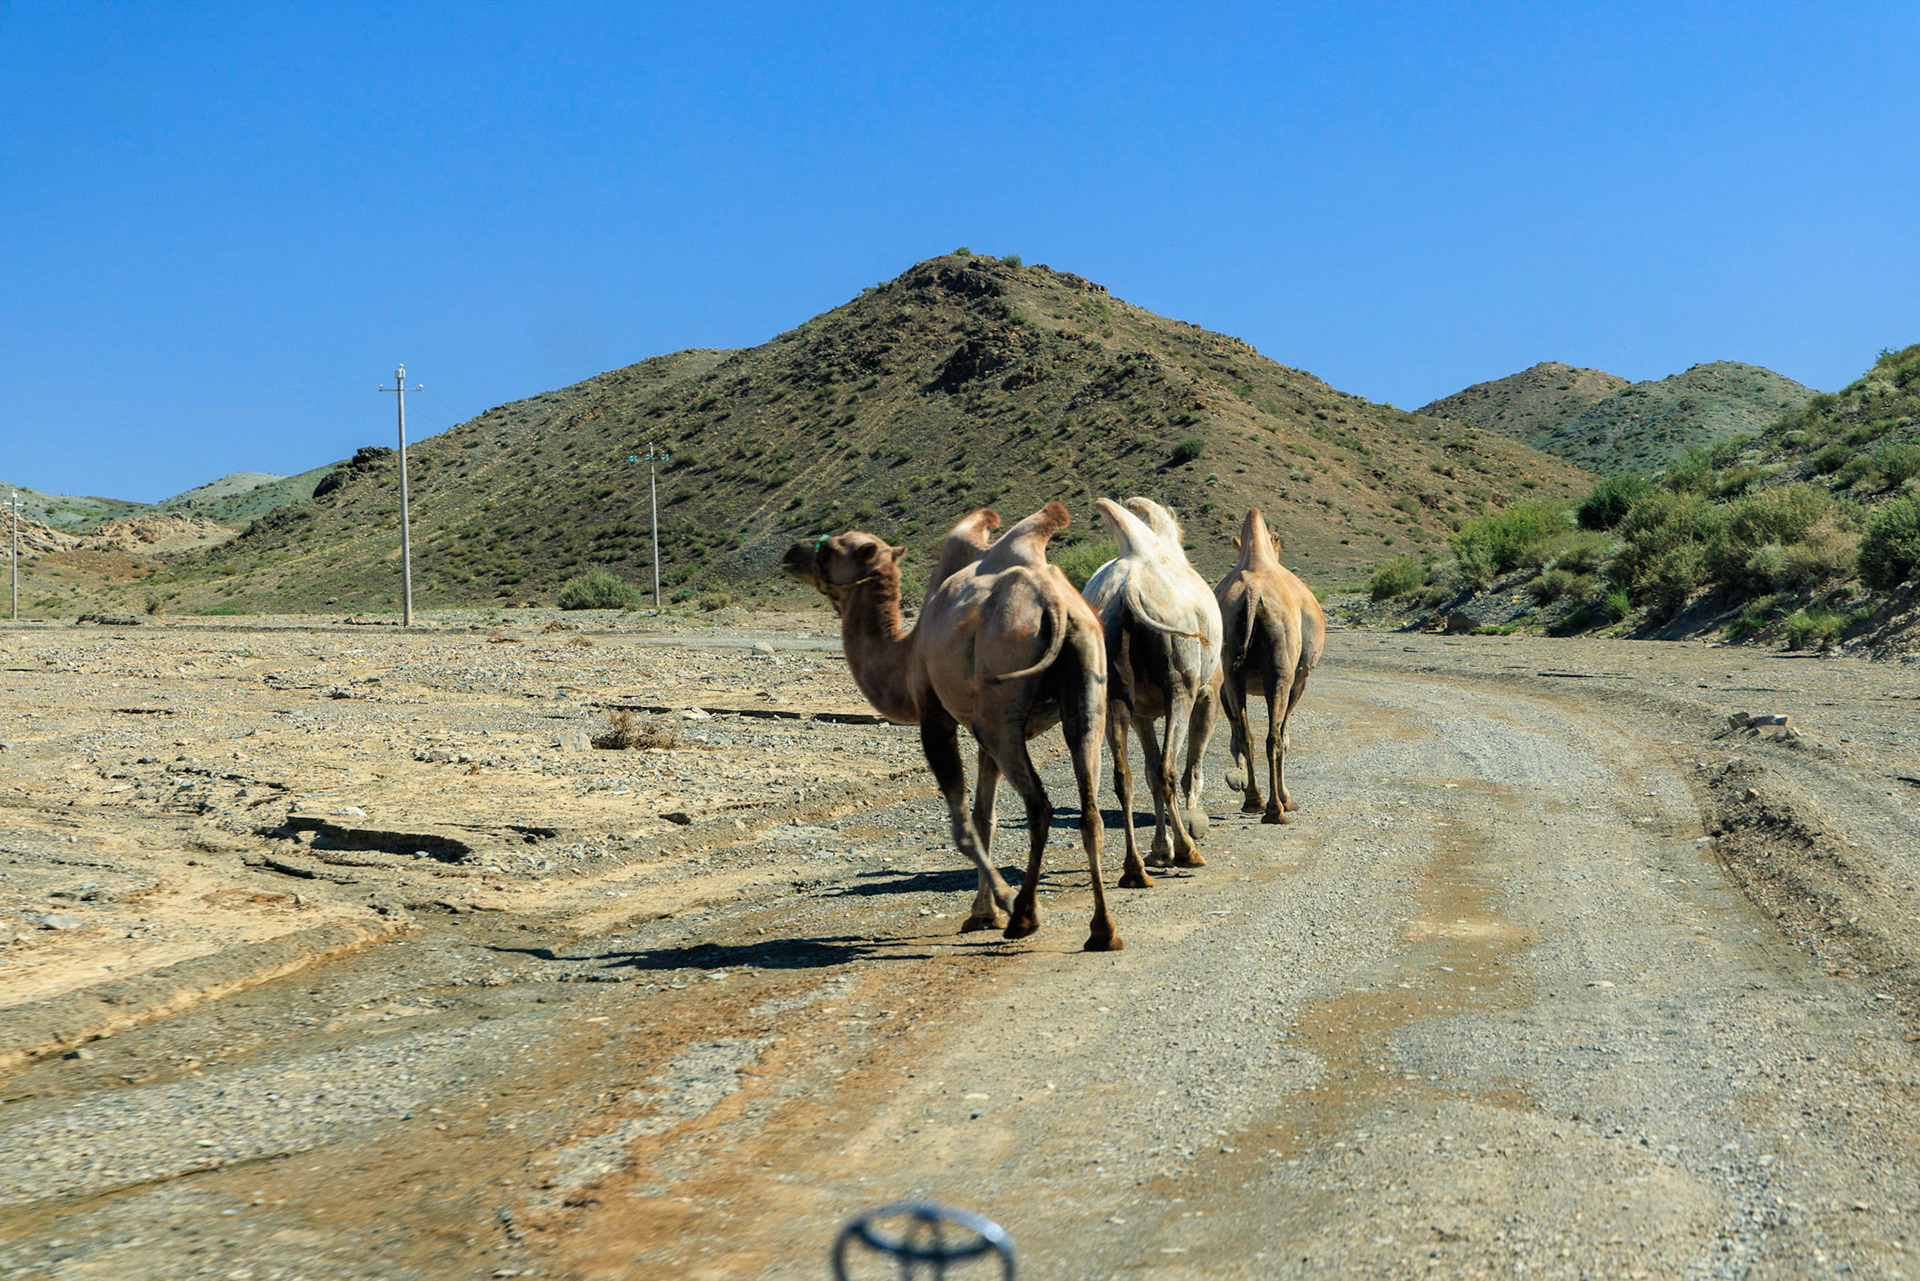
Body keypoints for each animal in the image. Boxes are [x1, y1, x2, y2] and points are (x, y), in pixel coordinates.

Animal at [780, 503, 1123, 951]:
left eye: (830, 548)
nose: (792, 551)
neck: (905, 654)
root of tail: (1055, 603)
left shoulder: (935, 717)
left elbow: (962, 826)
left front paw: (1002, 904)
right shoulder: (980, 738)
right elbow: (984, 818)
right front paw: (981, 914)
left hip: (1000, 710)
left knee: (1040, 806)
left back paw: (1024, 915)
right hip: (1086, 691)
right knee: (1089, 808)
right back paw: (1103, 930)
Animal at [1082, 497, 1223, 885]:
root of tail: (1127, 591)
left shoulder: (1142, 711)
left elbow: (1145, 773)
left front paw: (1160, 850)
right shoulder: (1208, 694)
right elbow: (1190, 768)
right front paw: (1174, 844)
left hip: (1113, 692)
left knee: (1125, 776)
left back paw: (1135, 869)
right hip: (1180, 687)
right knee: (1167, 768)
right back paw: (1189, 853)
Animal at [1214, 507, 1325, 823]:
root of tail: (1252, 596)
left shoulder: (1225, 684)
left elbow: (1237, 734)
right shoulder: (1299, 681)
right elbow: (1285, 738)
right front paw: (1288, 799)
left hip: (1233, 672)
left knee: (1247, 735)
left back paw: (1254, 800)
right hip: (1281, 673)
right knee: (1274, 738)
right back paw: (1277, 809)